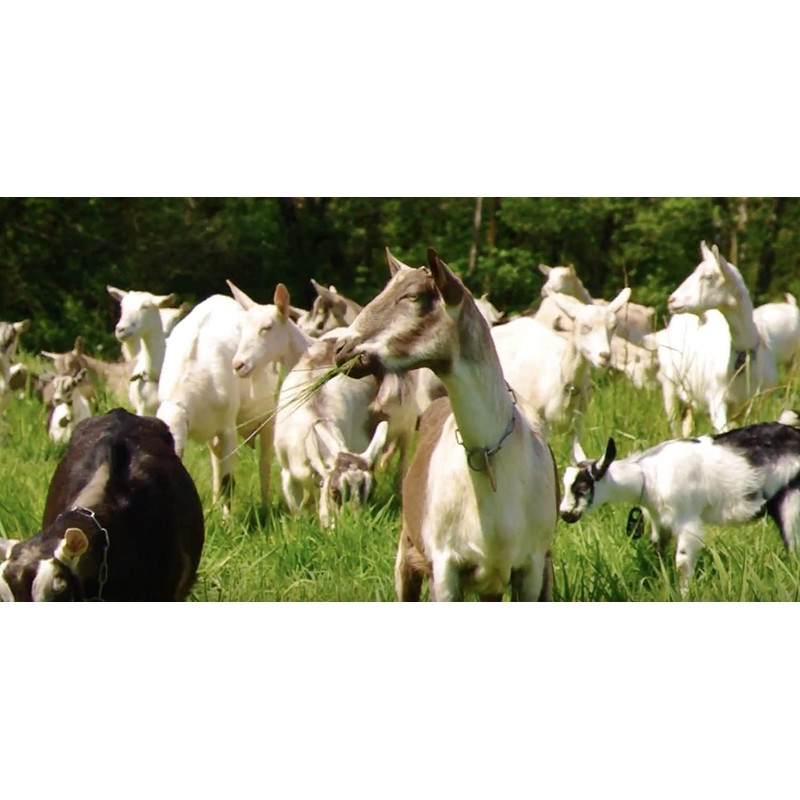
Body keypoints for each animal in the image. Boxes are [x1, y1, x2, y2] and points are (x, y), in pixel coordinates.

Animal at [157, 282, 311, 514]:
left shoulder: (228, 428)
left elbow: (228, 482)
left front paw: (227, 520)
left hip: (267, 419)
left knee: (263, 463)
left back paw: (265, 506)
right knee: (216, 462)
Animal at [560, 420, 800, 594]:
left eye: (581, 488)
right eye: (565, 483)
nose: (565, 514)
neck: (648, 476)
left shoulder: (688, 521)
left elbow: (682, 561)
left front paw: (683, 594)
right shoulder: (660, 522)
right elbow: (657, 550)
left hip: (792, 504)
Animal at [658, 241, 777, 434]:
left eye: (708, 276)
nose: (672, 300)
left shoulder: (755, 403)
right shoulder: (717, 399)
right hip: (669, 383)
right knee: (675, 422)